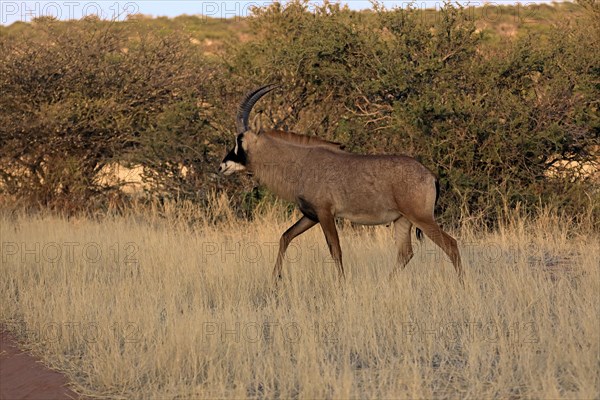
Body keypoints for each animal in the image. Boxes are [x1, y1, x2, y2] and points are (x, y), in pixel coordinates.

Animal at [220, 84, 464, 282]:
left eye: (240, 141)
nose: (222, 166)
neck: (301, 162)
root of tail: (430, 175)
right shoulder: (311, 215)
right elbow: (285, 237)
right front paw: (275, 278)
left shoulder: (325, 213)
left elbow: (335, 249)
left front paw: (342, 284)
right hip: (402, 220)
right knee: (405, 253)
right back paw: (385, 283)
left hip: (422, 218)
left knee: (451, 245)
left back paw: (461, 284)